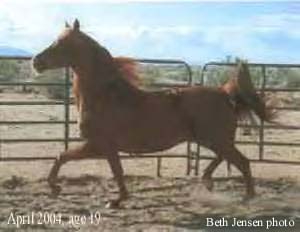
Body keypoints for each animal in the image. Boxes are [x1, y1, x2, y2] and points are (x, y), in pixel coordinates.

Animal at [32, 20, 274, 208]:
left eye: (61, 43)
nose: (36, 61)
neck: (105, 96)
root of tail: (224, 93)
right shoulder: (107, 148)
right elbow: (113, 171)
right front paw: (118, 199)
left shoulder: (98, 145)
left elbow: (64, 157)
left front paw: (57, 188)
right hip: (212, 139)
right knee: (226, 158)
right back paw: (207, 181)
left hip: (215, 139)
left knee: (242, 162)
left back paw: (247, 197)